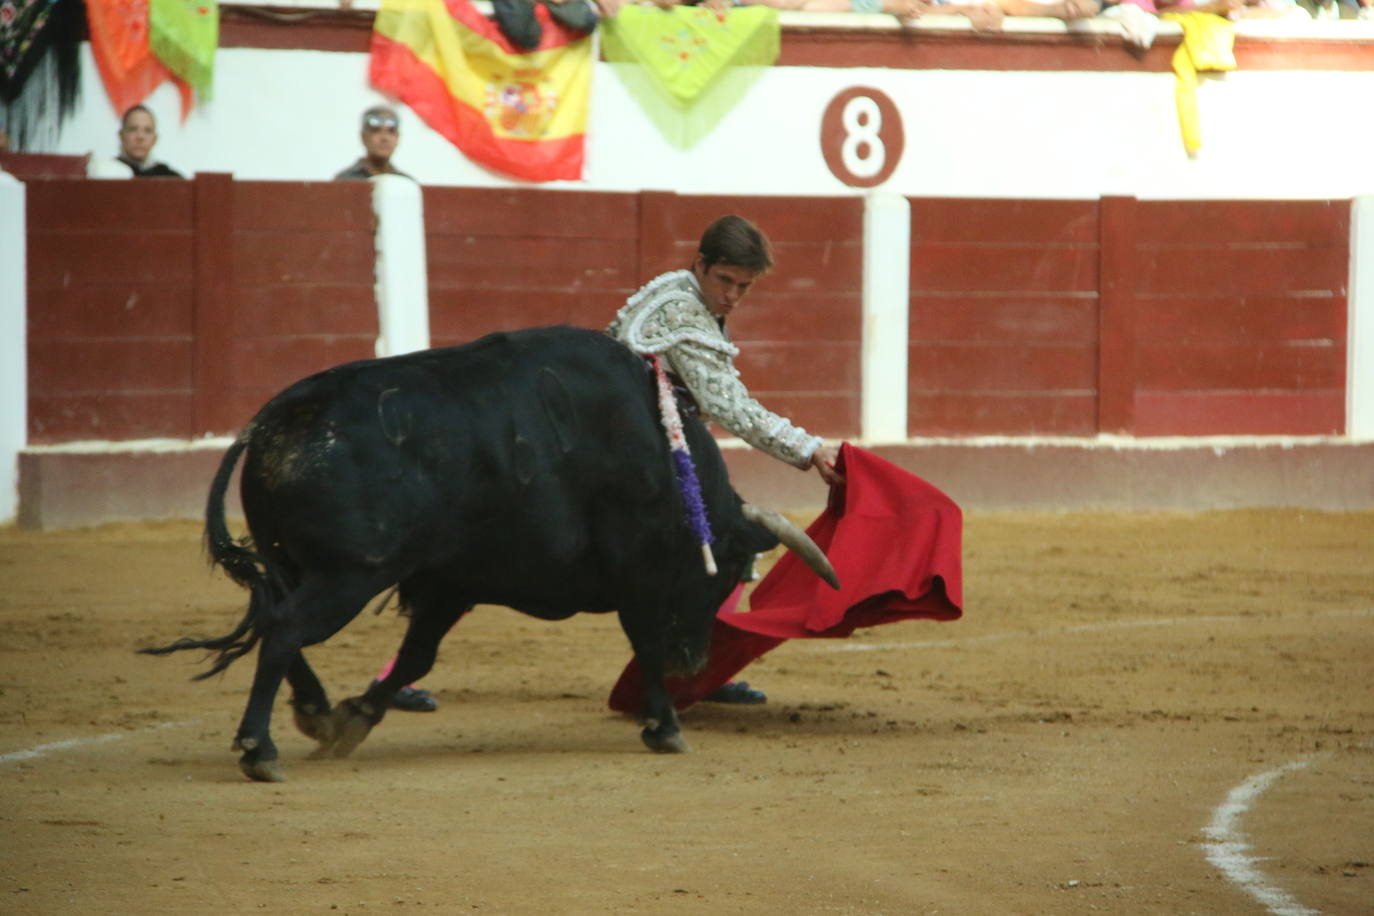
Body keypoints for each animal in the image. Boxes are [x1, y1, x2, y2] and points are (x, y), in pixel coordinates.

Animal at [144, 325, 840, 785]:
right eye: (724, 574)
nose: (692, 662)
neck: (661, 456)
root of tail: (280, 414)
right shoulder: (637, 571)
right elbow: (641, 640)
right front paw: (665, 727)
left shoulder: (454, 581)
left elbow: (417, 655)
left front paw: (356, 718)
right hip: (350, 575)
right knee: (286, 628)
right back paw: (259, 750)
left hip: (294, 564)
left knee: (274, 622)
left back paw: (314, 714)